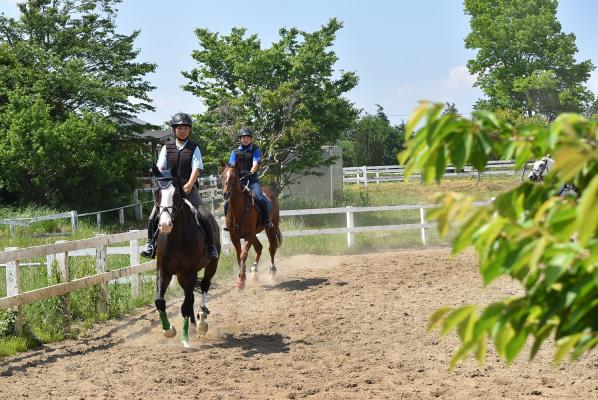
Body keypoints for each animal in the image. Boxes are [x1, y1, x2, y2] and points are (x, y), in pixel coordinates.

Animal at [152, 166, 220, 347]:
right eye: (157, 191)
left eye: (175, 193)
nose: (165, 225)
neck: (176, 238)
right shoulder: (164, 271)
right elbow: (160, 301)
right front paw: (169, 330)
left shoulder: (191, 273)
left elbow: (185, 305)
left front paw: (184, 338)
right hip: (181, 276)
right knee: (190, 299)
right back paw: (194, 326)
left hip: (211, 266)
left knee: (203, 287)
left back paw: (201, 323)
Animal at [219, 161, 282, 289]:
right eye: (222, 176)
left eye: (234, 176)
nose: (226, 193)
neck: (239, 210)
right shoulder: (234, 236)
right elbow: (239, 255)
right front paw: (242, 276)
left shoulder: (249, 235)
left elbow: (243, 254)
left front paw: (241, 280)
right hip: (254, 235)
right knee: (259, 248)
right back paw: (254, 272)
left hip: (270, 229)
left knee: (271, 248)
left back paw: (272, 270)